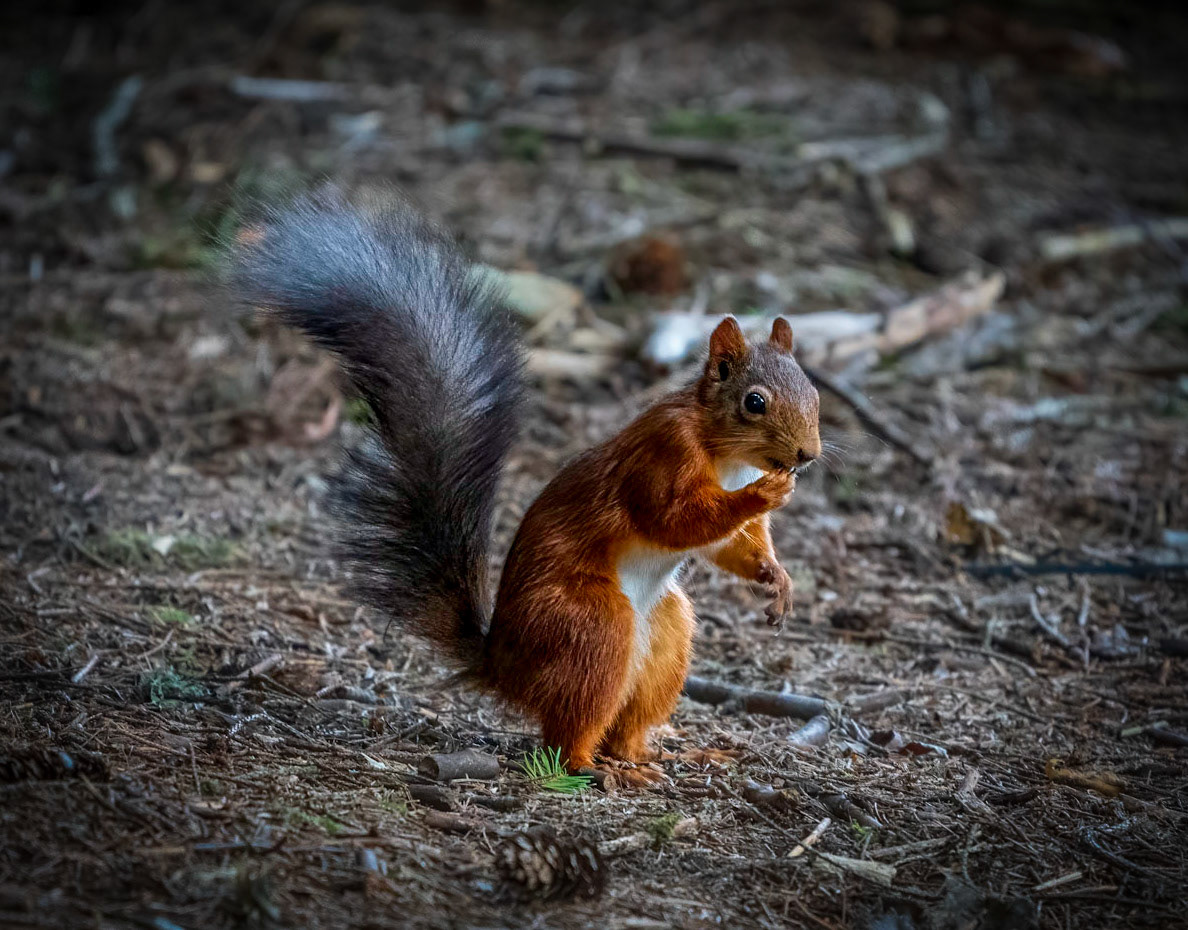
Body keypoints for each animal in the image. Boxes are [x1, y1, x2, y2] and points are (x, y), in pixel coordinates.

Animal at [232, 190, 821, 787]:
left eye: (815, 392)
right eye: (754, 401)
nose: (808, 456)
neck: (727, 455)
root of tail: (503, 666)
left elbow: (730, 544)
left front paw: (776, 577)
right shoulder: (662, 454)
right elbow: (670, 518)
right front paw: (763, 496)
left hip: (666, 634)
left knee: (627, 723)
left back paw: (657, 756)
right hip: (589, 626)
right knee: (567, 735)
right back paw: (599, 768)